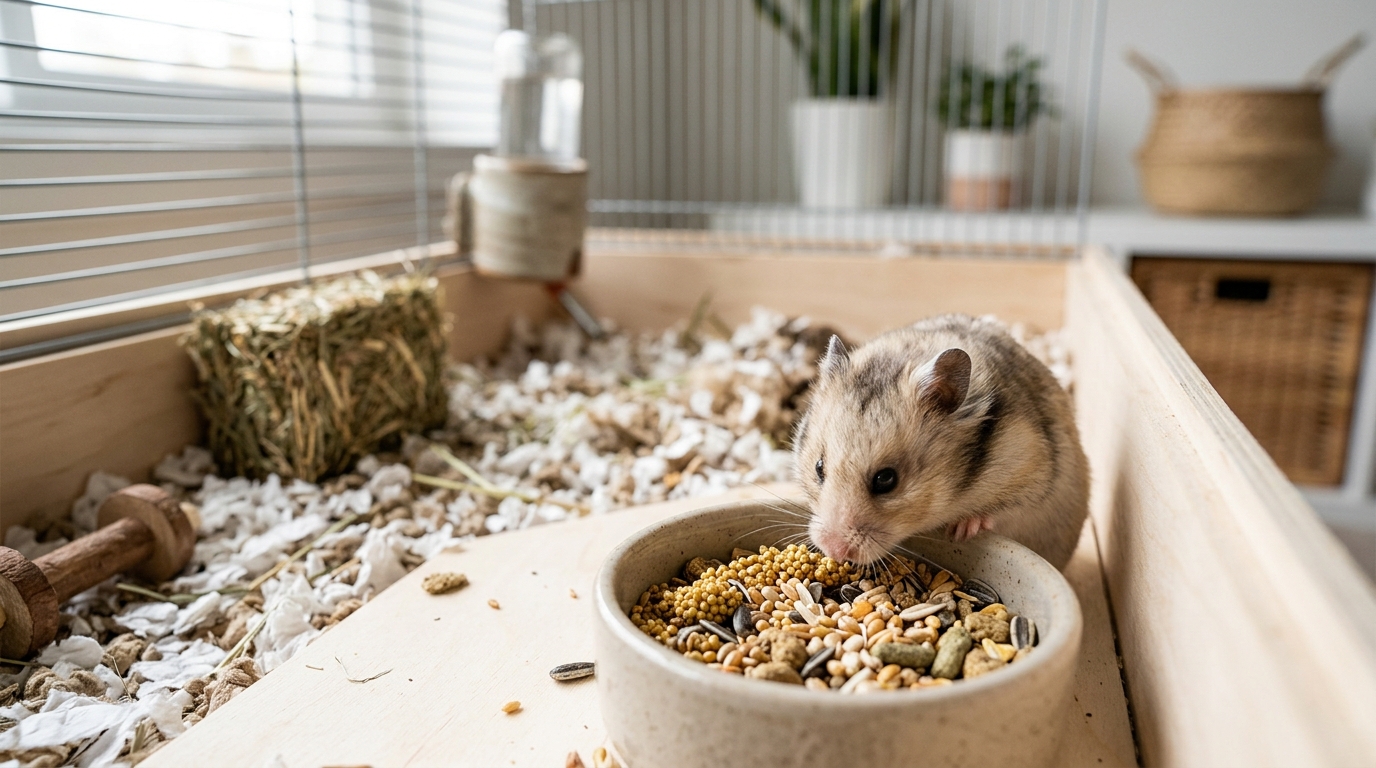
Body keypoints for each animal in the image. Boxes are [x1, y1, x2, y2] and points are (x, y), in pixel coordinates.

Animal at [793, 314, 1089, 571]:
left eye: (886, 480)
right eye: (819, 467)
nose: (834, 550)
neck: (956, 490)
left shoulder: (1032, 481)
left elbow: (1000, 512)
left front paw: (963, 530)